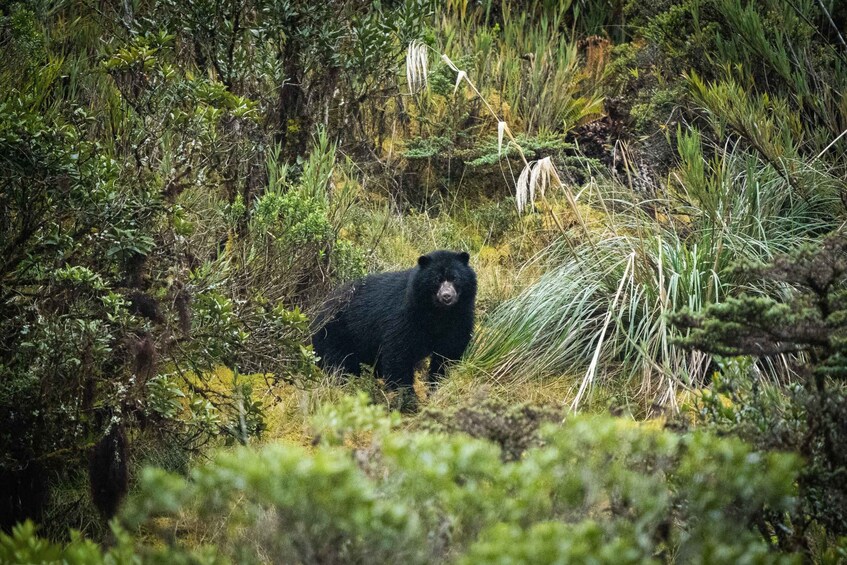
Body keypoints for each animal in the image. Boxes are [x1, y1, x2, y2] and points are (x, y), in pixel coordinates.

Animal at [311, 250, 476, 403]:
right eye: (437, 280)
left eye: (455, 278)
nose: (447, 296)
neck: (438, 313)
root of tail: (318, 311)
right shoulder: (405, 317)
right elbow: (399, 353)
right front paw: (407, 397)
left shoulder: (460, 318)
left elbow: (448, 353)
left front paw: (436, 387)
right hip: (336, 334)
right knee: (339, 364)